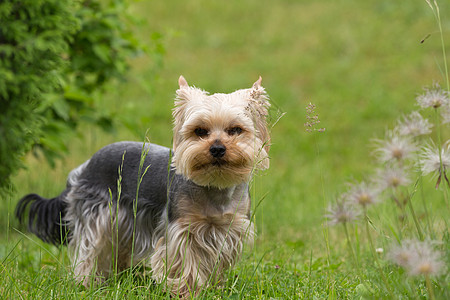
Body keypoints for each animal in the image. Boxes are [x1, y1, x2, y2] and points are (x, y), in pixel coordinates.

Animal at [15, 75, 270, 298]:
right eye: (200, 131)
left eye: (235, 130)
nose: (217, 148)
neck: (215, 186)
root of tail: (83, 167)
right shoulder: (182, 231)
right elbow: (185, 264)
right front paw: (186, 292)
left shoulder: (229, 230)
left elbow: (217, 262)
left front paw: (215, 288)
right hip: (100, 216)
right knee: (89, 251)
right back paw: (88, 283)